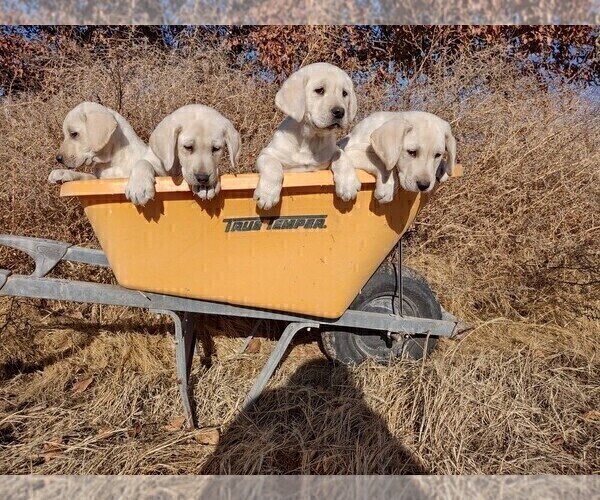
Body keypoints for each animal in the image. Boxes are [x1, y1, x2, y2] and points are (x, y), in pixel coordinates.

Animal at [253, 63, 360, 210]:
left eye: (344, 93)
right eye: (319, 90)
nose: (339, 112)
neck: (311, 139)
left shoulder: (332, 153)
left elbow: (342, 157)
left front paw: (348, 185)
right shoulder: (267, 154)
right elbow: (272, 166)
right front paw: (267, 194)